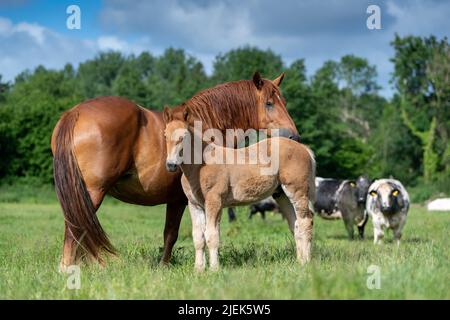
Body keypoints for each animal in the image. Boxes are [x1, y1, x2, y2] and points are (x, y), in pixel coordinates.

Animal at [51, 71, 298, 268]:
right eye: (269, 103)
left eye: (285, 101)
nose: (293, 136)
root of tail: (75, 113)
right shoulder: (183, 200)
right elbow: (177, 234)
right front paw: (167, 265)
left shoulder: (180, 200)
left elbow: (173, 234)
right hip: (91, 193)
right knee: (74, 228)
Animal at [163, 107, 314, 270]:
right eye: (165, 135)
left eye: (183, 136)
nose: (171, 165)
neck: (201, 165)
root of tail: (303, 148)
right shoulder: (194, 205)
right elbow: (198, 238)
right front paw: (199, 270)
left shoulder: (214, 201)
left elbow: (212, 236)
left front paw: (214, 269)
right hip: (282, 196)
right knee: (295, 224)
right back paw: (299, 261)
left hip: (297, 191)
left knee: (305, 222)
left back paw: (306, 263)